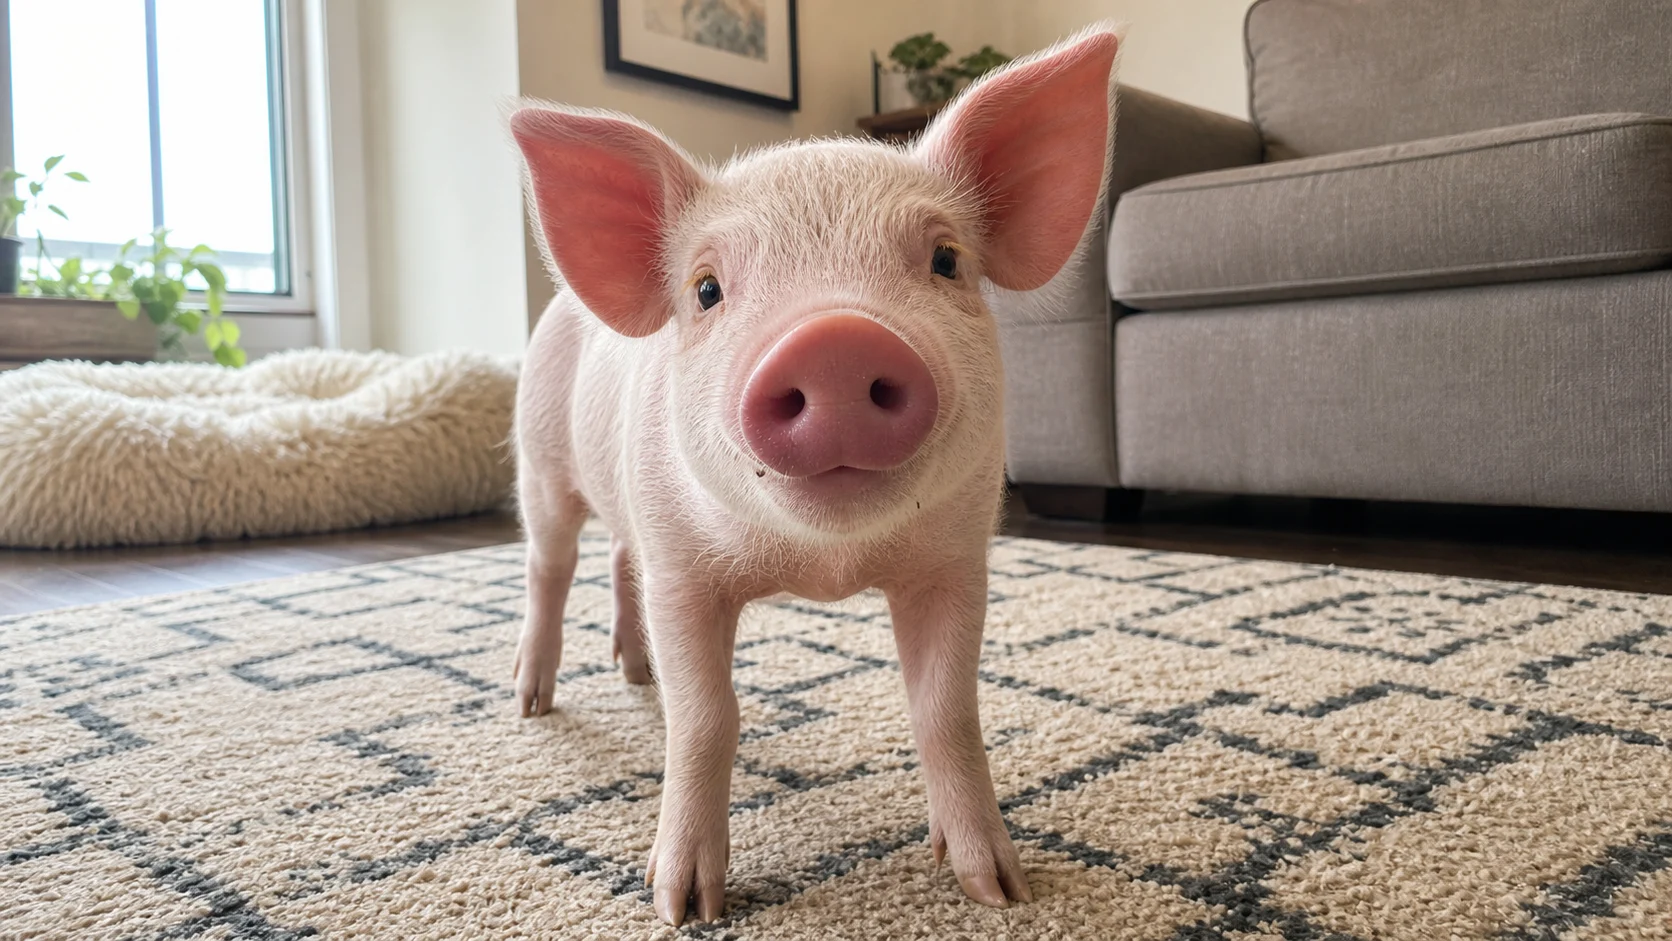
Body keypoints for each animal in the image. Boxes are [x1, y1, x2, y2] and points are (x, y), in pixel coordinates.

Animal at [508, 26, 1119, 926]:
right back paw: (532, 700)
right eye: (706, 288)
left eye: (946, 260)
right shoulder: (682, 567)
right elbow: (705, 717)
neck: (823, 566)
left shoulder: (955, 560)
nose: (836, 339)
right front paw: (683, 906)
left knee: (619, 561)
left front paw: (999, 888)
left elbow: (945, 709)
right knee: (550, 568)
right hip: (542, 464)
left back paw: (636, 670)